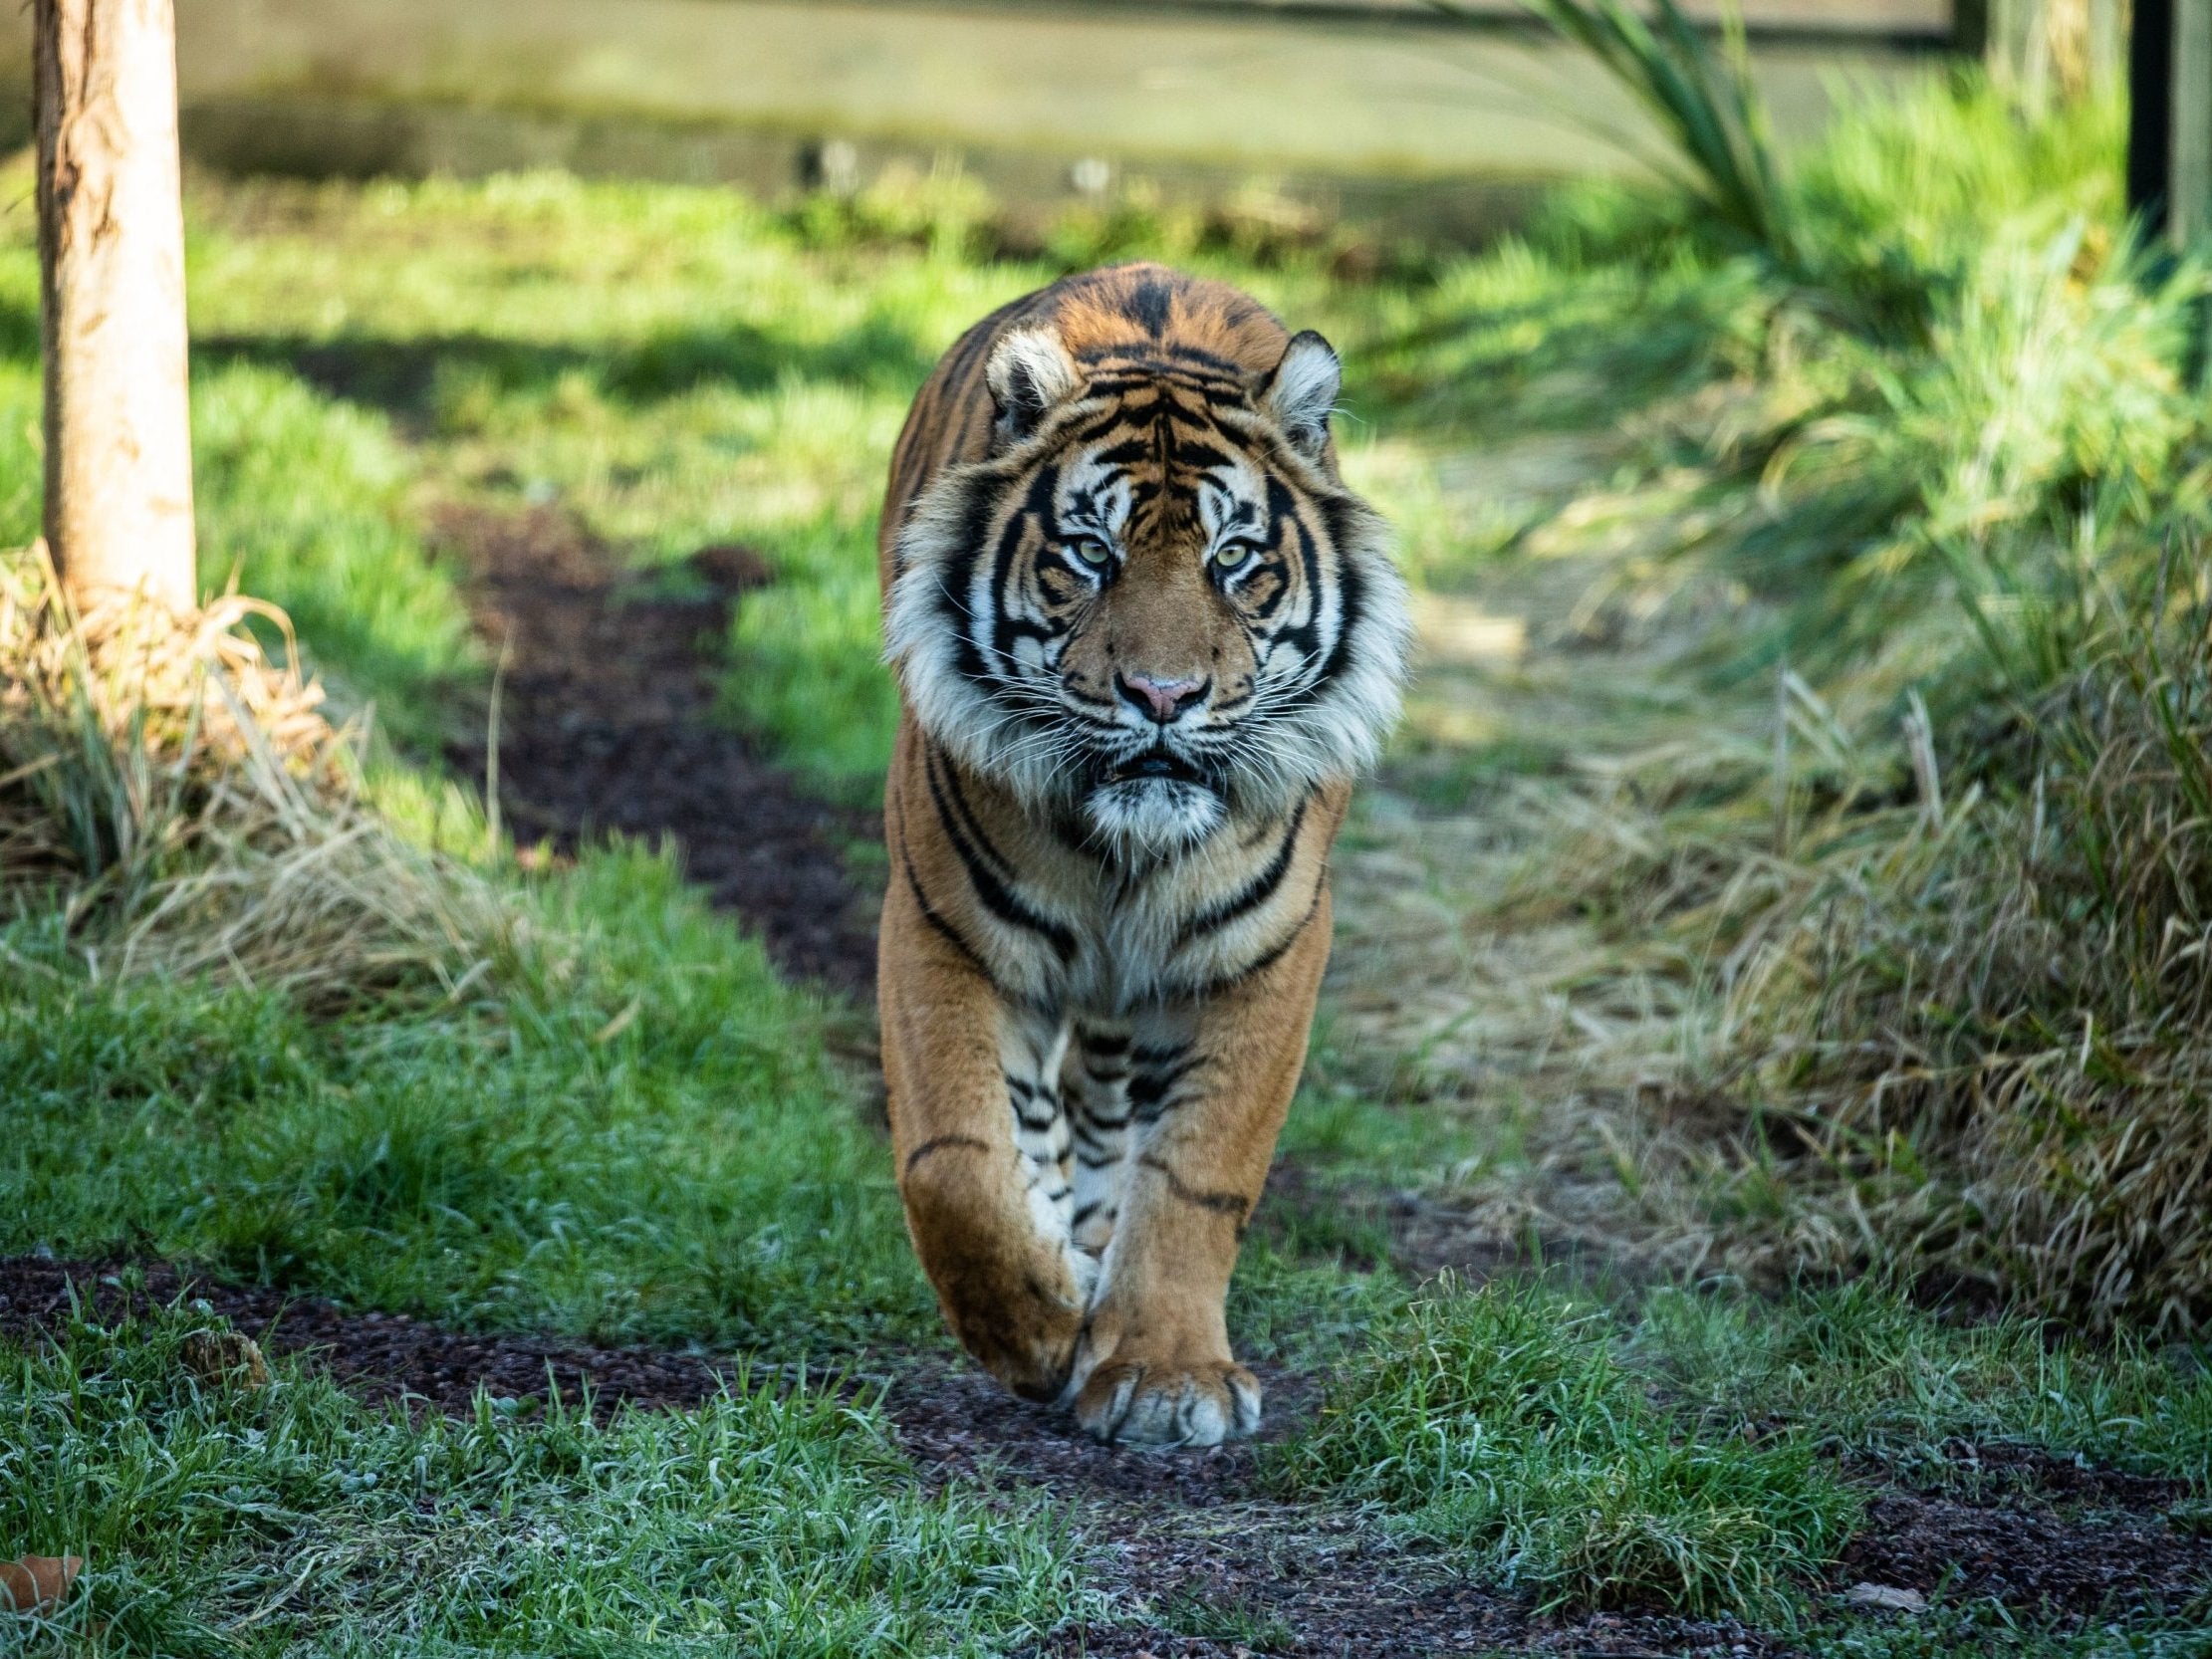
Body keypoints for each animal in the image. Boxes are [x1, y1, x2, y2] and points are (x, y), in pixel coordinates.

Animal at [871, 256, 1406, 1442]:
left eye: (1234, 559)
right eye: (1090, 554)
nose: (1162, 697)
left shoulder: (1266, 953)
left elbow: (1198, 1172)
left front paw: (1163, 1373)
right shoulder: (940, 926)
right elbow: (954, 1164)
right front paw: (1037, 1328)